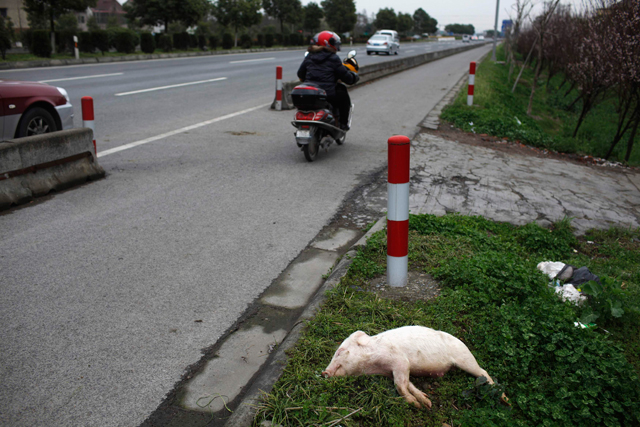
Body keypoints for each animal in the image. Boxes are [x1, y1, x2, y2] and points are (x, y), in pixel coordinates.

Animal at [322, 326, 498, 410]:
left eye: (340, 352)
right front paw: (426, 403)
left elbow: (400, 385)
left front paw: (416, 405)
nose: (324, 372)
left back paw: (501, 397)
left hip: (465, 358)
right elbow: (408, 384)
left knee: (482, 372)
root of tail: (463, 343)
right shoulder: (392, 371)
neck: (373, 365)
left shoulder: (400, 361)